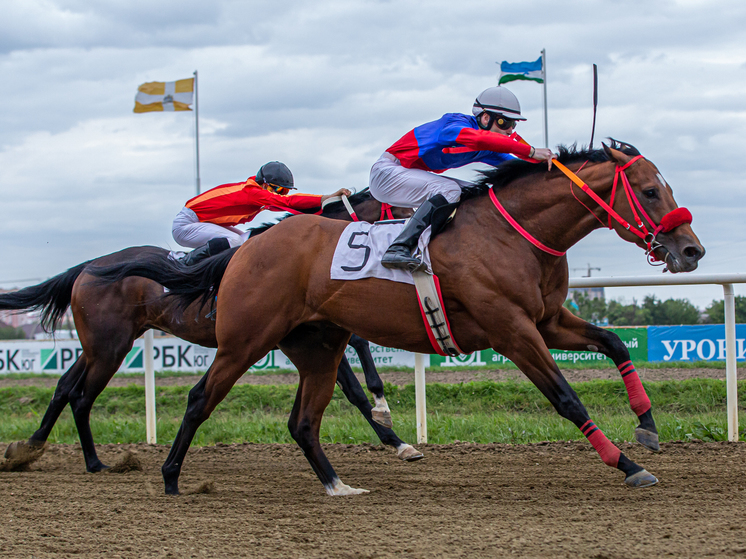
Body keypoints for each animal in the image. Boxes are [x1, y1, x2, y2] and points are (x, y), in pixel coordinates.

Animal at [0, 189, 422, 472]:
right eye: (402, 205)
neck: (310, 253)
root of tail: (88, 267)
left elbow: (356, 356)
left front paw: (395, 431)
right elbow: (353, 386)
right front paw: (395, 436)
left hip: (99, 346)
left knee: (64, 387)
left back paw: (29, 448)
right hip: (109, 349)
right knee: (81, 397)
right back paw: (93, 462)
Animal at [88, 142, 704, 496]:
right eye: (650, 191)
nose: (691, 251)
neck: (512, 234)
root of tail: (247, 246)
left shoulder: (548, 319)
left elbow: (615, 344)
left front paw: (647, 427)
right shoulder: (511, 329)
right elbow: (566, 397)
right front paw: (625, 463)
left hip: (318, 345)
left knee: (303, 421)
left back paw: (338, 485)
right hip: (244, 340)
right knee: (199, 398)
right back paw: (170, 477)